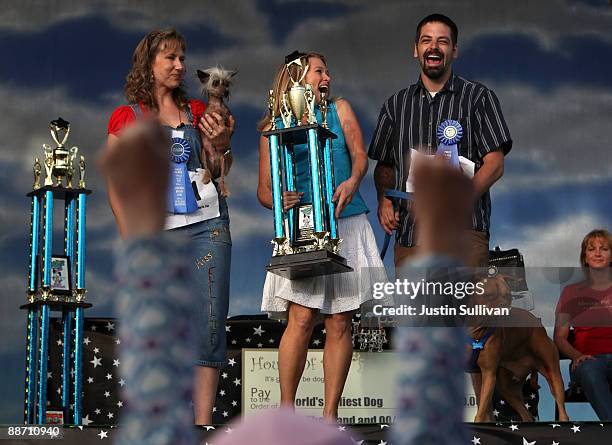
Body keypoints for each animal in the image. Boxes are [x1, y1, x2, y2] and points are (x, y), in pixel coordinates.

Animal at [466, 276, 572, 422]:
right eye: (489, 296)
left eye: (508, 296)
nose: (503, 306)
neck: (478, 332)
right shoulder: (476, 375)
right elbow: (483, 406)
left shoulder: (488, 374)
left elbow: (482, 409)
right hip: (508, 388)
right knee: (526, 414)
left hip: (553, 375)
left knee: (561, 407)